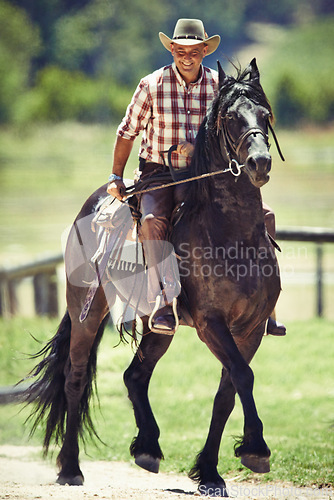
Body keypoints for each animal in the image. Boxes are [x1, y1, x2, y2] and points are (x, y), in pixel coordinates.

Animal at [24, 59, 282, 496]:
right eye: (231, 118)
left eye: (266, 115)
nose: (259, 163)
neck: (231, 234)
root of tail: (92, 204)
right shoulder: (211, 324)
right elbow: (242, 377)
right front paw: (256, 449)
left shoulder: (251, 329)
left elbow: (227, 392)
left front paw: (210, 473)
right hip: (86, 314)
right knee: (75, 379)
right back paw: (71, 468)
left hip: (159, 326)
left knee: (135, 376)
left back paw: (147, 448)